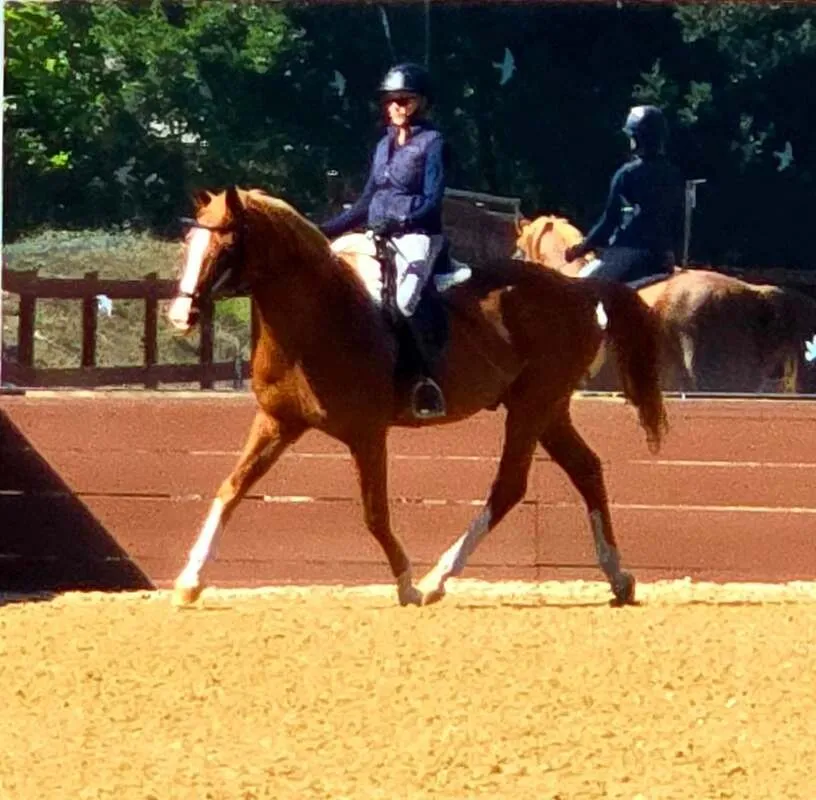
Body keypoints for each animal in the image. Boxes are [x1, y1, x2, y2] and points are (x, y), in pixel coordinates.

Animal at [166, 187, 667, 608]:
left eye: (225, 247)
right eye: (188, 244)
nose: (179, 316)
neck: (316, 320)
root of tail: (578, 288)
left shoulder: (366, 434)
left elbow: (374, 513)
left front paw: (406, 584)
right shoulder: (277, 421)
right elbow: (230, 489)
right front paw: (189, 582)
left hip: (532, 406)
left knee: (509, 487)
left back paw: (436, 580)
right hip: (547, 409)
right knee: (585, 469)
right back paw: (619, 579)